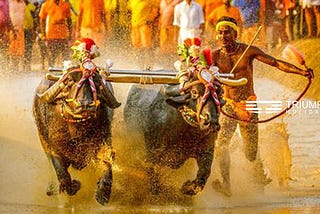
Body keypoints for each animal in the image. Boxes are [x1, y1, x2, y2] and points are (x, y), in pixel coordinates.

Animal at [32, 67, 120, 205]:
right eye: (70, 81)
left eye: (96, 82)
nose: (85, 105)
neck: (77, 131)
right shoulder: (55, 150)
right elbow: (63, 176)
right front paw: (75, 185)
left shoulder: (103, 142)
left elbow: (108, 164)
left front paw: (102, 194)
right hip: (42, 139)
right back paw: (51, 188)